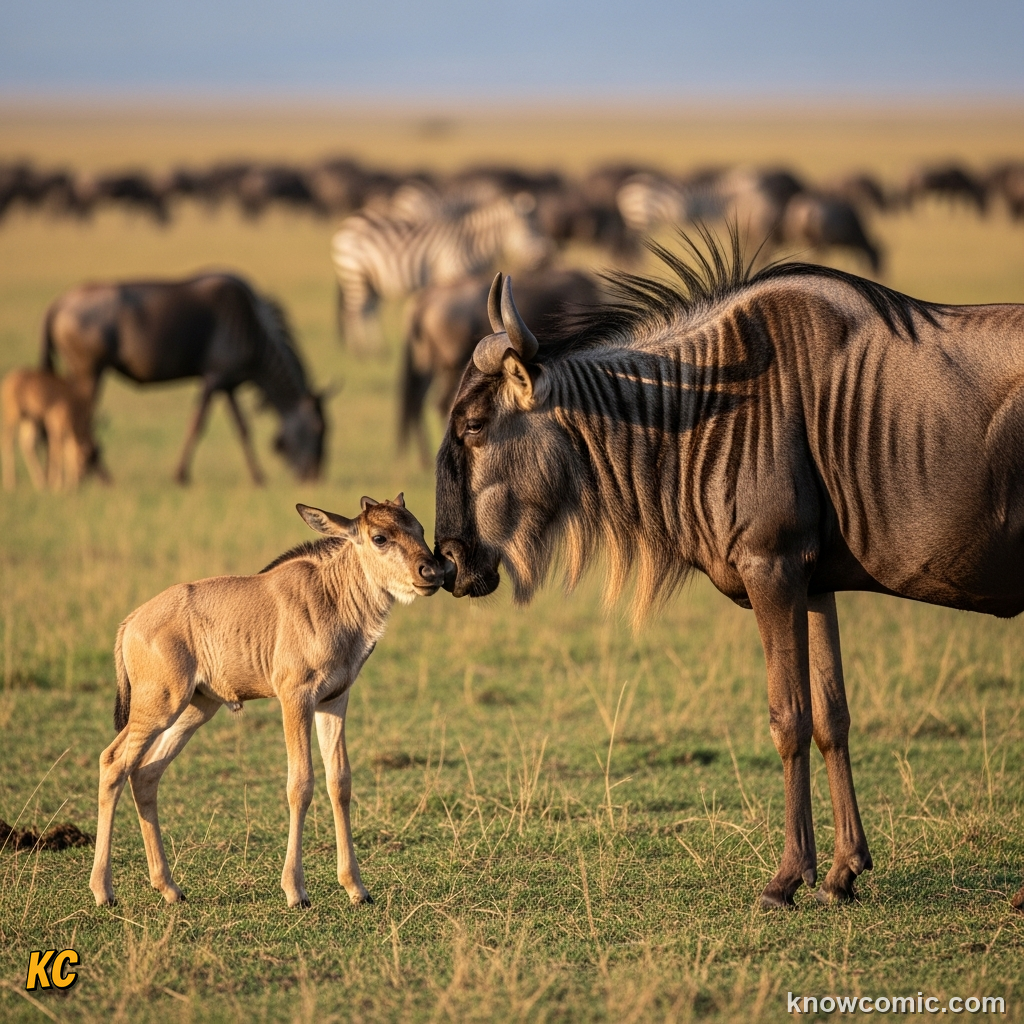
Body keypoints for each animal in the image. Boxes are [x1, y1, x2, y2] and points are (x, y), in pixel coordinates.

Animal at [90, 496, 444, 909]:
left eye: (419, 528)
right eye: (379, 537)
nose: (432, 570)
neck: (332, 594)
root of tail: (131, 622)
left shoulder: (333, 701)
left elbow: (339, 782)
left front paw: (356, 888)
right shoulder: (295, 698)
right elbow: (300, 784)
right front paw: (296, 891)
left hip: (194, 709)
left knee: (146, 774)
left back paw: (169, 888)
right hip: (158, 706)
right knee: (114, 763)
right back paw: (104, 890)